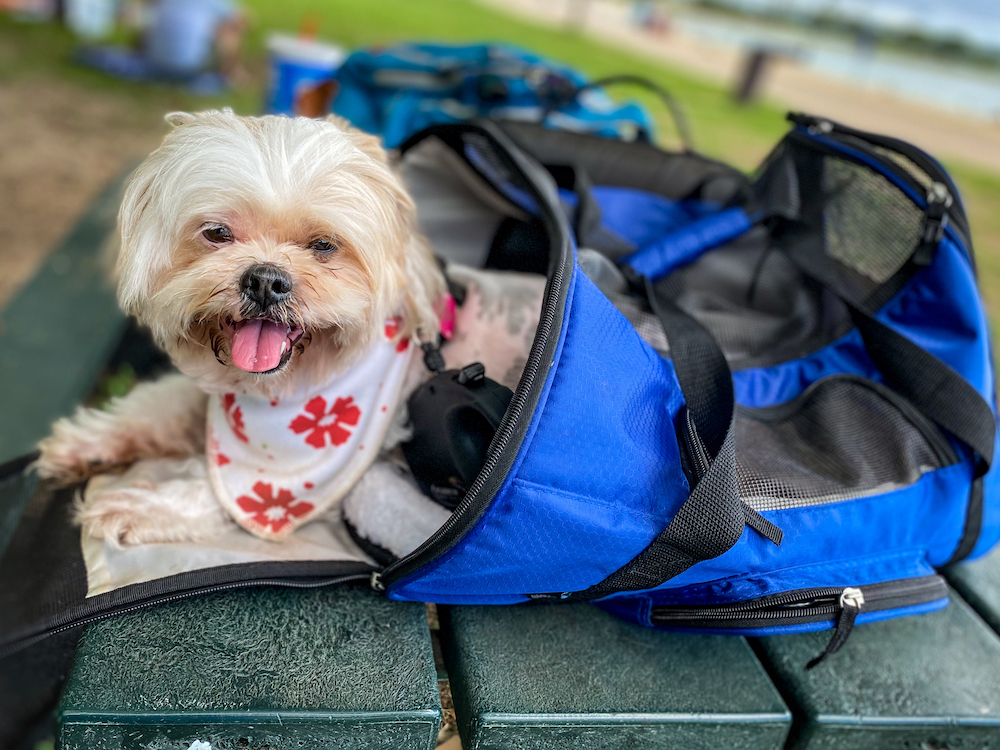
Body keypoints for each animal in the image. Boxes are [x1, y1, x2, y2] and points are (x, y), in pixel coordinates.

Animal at [37, 108, 548, 548]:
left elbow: (217, 488)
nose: (265, 279)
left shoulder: (306, 479)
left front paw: (145, 504)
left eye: (324, 245)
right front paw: (89, 441)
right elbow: (156, 404)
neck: (281, 392)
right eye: (217, 233)